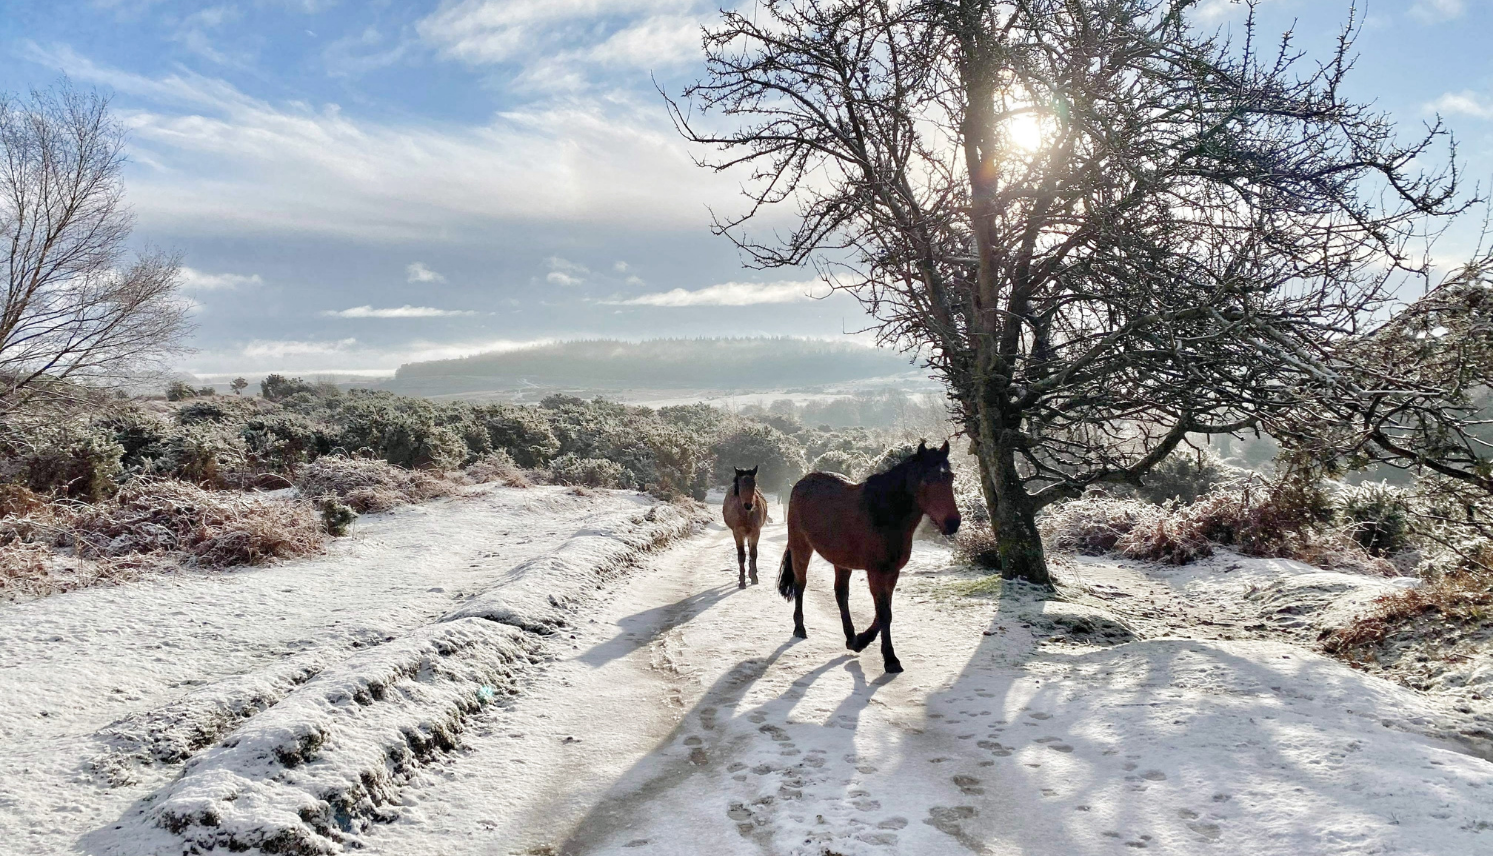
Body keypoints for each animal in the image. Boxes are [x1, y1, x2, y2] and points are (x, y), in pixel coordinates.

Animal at [782, 439, 955, 675]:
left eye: (951, 477)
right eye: (927, 481)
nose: (953, 523)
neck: (884, 515)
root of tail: (802, 482)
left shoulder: (891, 573)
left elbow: (884, 612)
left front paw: (861, 640)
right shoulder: (876, 572)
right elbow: (884, 614)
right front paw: (890, 659)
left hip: (841, 561)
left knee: (841, 594)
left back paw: (850, 637)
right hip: (801, 548)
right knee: (801, 586)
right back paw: (800, 628)